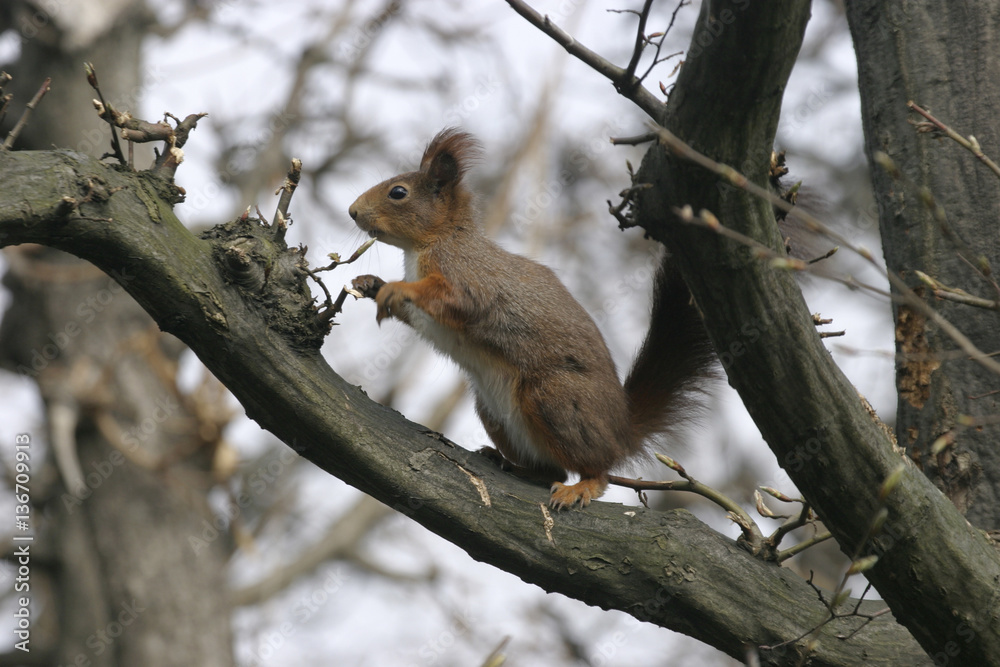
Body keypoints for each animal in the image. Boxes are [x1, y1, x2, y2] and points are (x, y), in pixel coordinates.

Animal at [350, 128, 712, 508]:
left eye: (398, 192)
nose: (353, 211)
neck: (435, 240)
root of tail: (621, 431)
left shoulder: (467, 274)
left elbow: (459, 299)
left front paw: (395, 288)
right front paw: (370, 283)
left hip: (553, 399)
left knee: (595, 468)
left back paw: (582, 486)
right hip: (493, 411)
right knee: (553, 470)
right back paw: (510, 463)